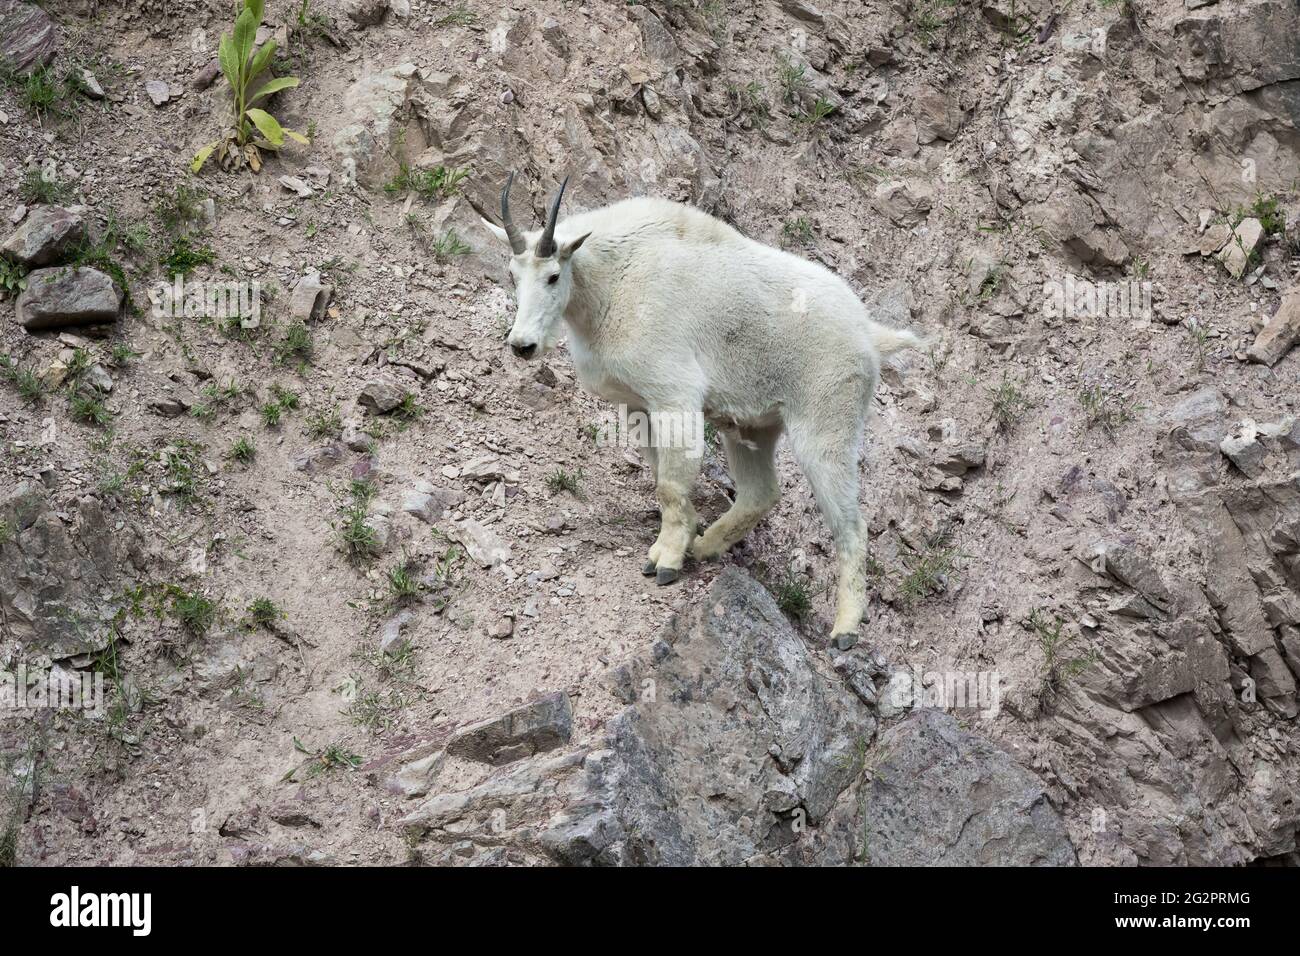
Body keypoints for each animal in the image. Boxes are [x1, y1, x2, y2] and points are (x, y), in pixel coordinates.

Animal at [483, 176, 920, 647]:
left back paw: (845, 627)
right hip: (751, 426)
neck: (611, 282)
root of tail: (870, 335)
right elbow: (662, 478)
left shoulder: (675, 395)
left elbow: (671, 486)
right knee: (761, 492)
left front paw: (666, 561)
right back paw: (708, 544)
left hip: (826, 423)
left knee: (851, 525)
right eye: (513, 275)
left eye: (553, 275)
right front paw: (677, 541)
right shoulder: (639, 405)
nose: (522, 345)